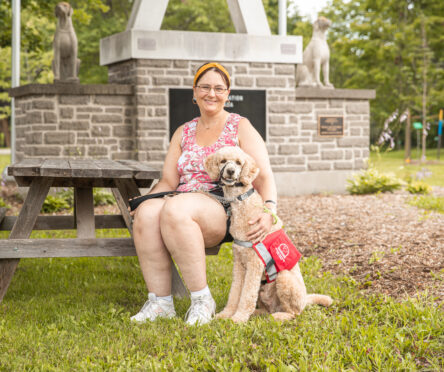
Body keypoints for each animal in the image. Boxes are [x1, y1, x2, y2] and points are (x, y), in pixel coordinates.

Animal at [203, 147, 332, 322]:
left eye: (238, 162)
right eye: (223, 161)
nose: (230, 171)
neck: (241, 202)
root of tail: (305, 300)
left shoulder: (254, 264)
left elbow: (246, 295)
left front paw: (238, 318)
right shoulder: (239, 264)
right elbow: (235, 293)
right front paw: (226, 314)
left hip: (284, 278)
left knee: (294, 313)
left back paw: (278, 316)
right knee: (266, 309)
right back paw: (258, 314)